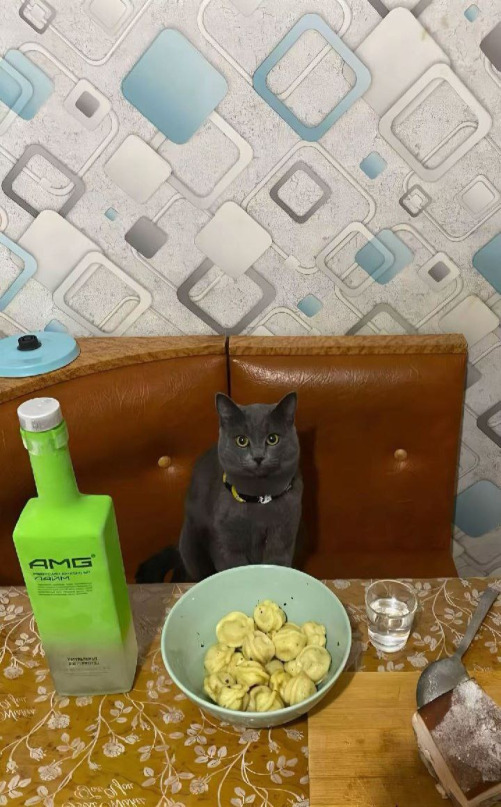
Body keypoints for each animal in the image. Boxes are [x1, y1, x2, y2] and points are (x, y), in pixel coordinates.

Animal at [136, 392, 302, 583]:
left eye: (273, 438)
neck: (259, 501)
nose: (258, 457)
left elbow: (277, 562)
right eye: (242, 440)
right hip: (191, 542)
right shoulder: (225, 543)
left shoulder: (283, 536)